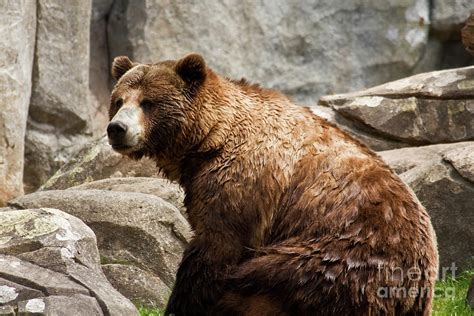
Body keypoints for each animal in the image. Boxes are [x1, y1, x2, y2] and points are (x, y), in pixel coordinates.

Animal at [106, 53, 436, 314]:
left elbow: (217, 247)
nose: (116, 128)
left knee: (263, 278)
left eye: (148, 103)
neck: (210, 140)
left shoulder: (241, 182)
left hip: (338, 257)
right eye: (119, 101)